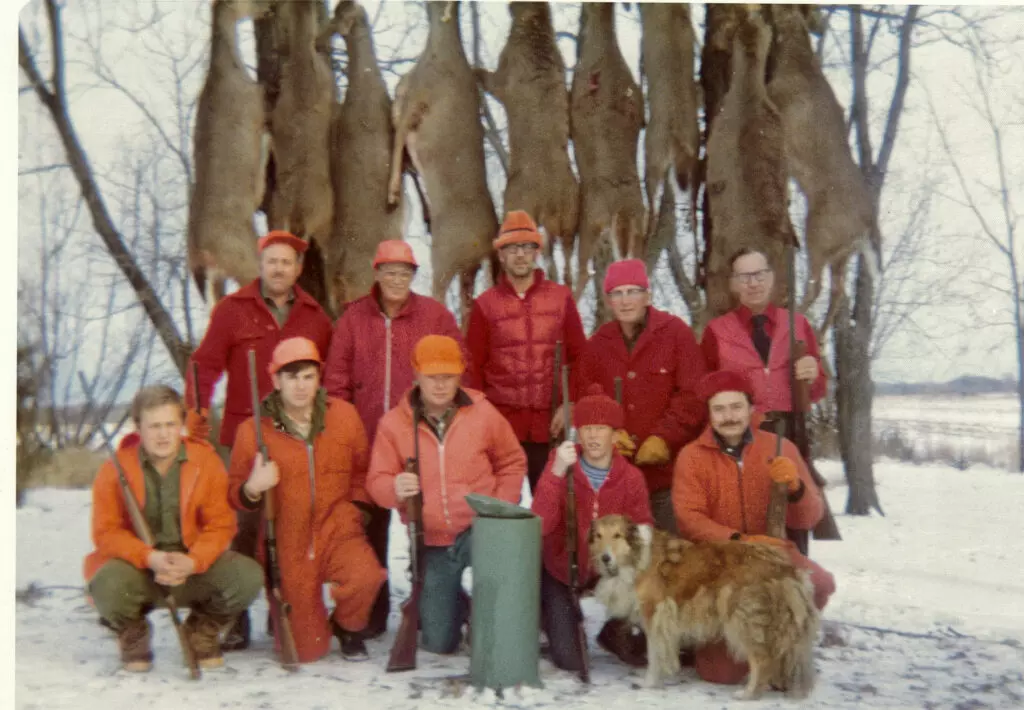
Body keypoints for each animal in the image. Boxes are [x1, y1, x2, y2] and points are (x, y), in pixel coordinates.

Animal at [589, 514, 819, 696]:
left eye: (617, 535)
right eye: (598, 536)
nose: (605, 558)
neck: (635, 556)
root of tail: (783, 566)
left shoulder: (655, 613)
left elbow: (654, 654)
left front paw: (648, 683)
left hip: (741, 618)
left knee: (762, 660)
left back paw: (747, 694)